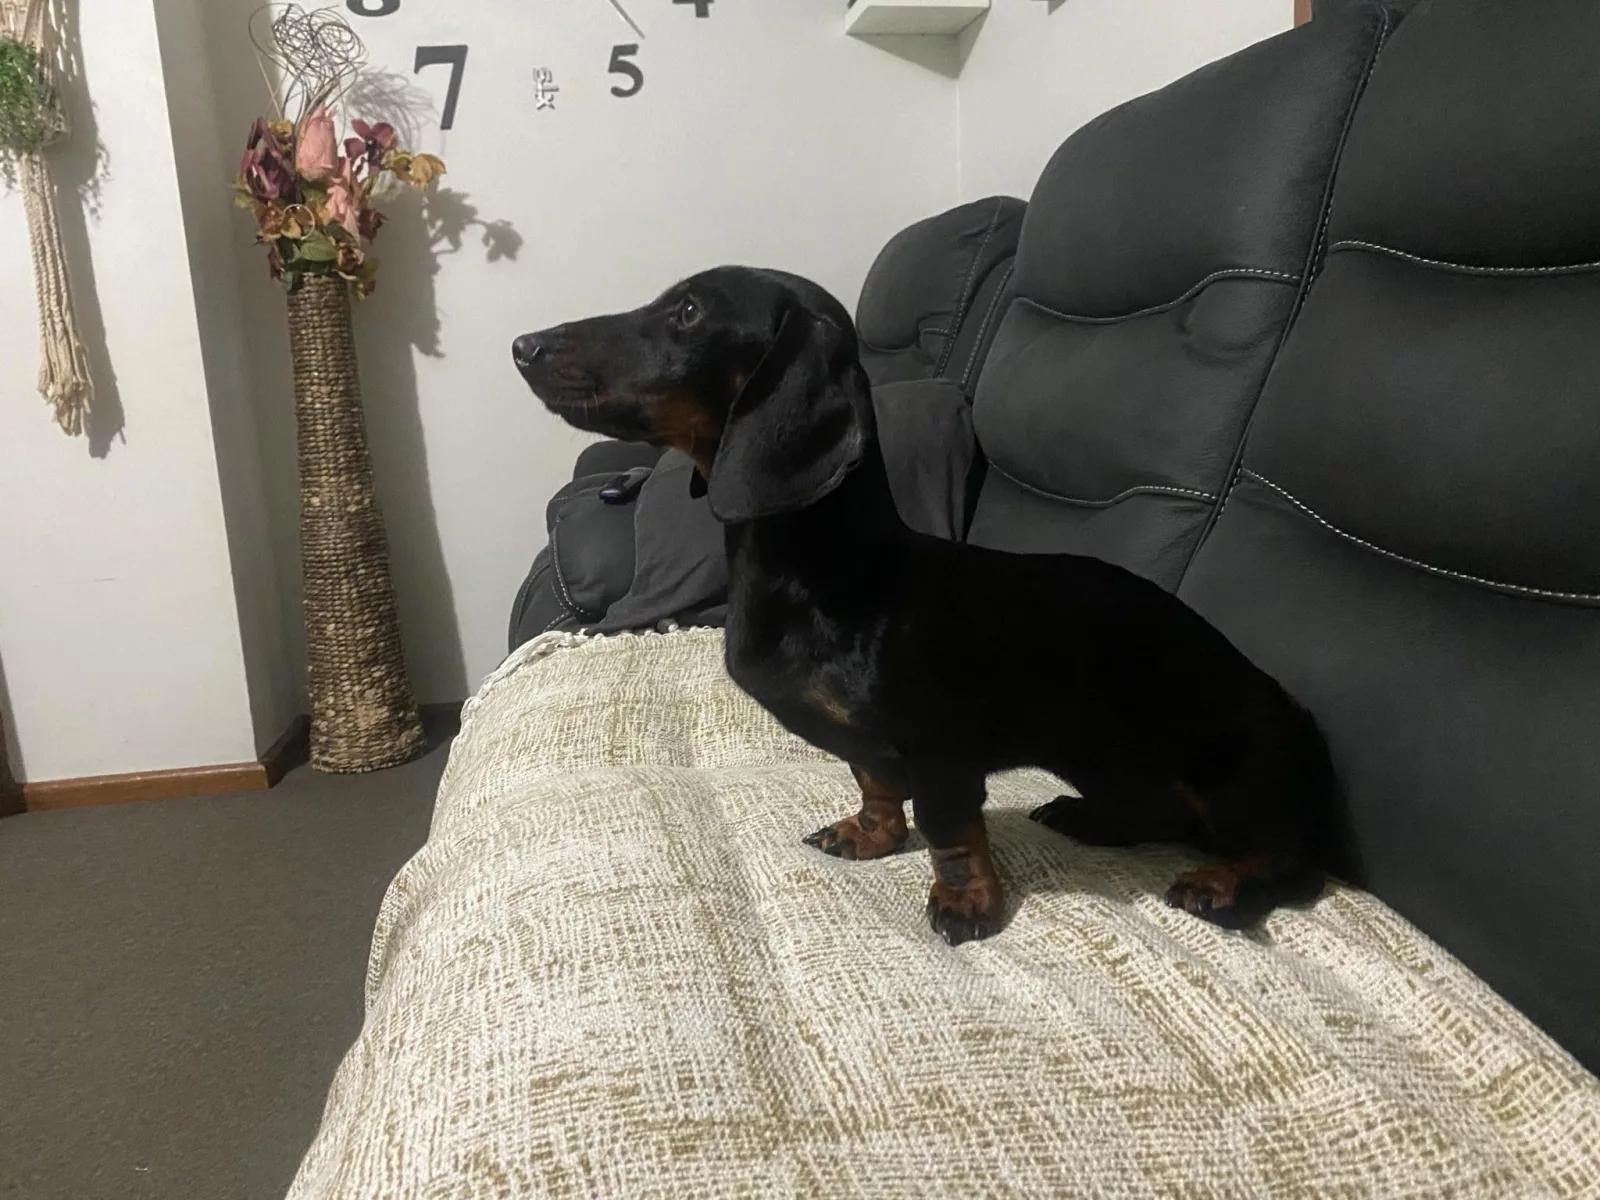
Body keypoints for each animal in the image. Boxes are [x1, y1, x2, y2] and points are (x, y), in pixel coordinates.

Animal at [513, 267, 1335, 945]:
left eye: (687, 312)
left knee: (1280, 855)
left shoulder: (939, 749)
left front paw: (967, 903)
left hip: (1229, 774)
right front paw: (870, 836)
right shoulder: (872, 750)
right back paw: (1085, 817)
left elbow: (948, 830)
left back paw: (1218, 883)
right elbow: (874, 786)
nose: (523, 345)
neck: (829, 571)